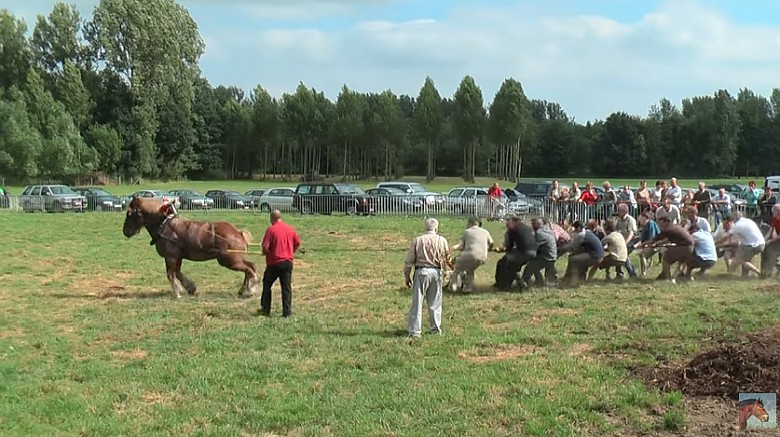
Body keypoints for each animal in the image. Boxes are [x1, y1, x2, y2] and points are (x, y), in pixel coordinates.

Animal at [122, 197, 258, 296]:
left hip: (229, 260)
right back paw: (243, 290)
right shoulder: (177, 257)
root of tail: (238, 233)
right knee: (251, 267)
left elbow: (170, 274)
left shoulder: (170, 257)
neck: (164, 225)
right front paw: (190, 288)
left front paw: (177, 292)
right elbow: (177, 272)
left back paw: (250, 290)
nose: (125, 231)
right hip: (235, 259)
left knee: (249, 269)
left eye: (129, 214)